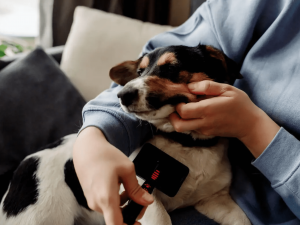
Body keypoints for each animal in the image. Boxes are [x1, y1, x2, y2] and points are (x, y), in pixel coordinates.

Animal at [0, 44, 251, 225]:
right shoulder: (142, 195)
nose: (122, 95)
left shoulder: (216, 200)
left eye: (171, 67)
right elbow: (162, 218)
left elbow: (243, 220)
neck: (188, 143)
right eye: (139, 71)